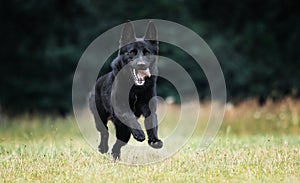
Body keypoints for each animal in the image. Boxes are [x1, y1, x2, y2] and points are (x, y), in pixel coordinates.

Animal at [89, 21, 163, 160]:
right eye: (132, 52)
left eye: (147, 53)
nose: (141, 65)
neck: (135, 89)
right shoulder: (120, 107)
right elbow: (129, 115)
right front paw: (139, 133)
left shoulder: (149, 107)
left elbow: (152, 121)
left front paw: (154, 140)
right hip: (101, 119)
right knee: (105, 132)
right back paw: (103, 148)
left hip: (123, 131)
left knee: (119, 143)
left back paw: (115, 155)